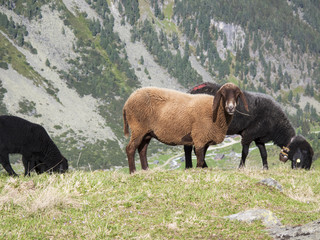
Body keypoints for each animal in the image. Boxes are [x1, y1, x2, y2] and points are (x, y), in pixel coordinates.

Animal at [184, 82, 314, 171]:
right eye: (306, 155)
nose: (306, 170)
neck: (276, 125)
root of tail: (191, 91)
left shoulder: (259, 138)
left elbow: (264, 154)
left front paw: (265, 169)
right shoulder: (249, 134)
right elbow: (245, 152)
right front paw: (241, 167)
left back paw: (194, 167)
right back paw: (197, 167)